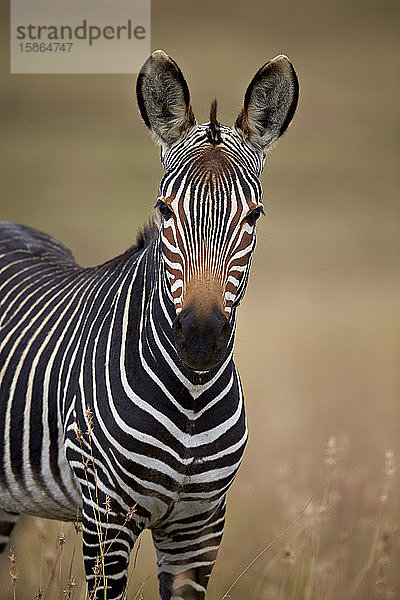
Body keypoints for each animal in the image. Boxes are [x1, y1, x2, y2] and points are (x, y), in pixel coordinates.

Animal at [0, 49, 296, 596]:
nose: (200, 339)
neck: (192, 397)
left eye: (255, 216)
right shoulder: (106, 518)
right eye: (164, 209)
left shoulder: (199, 528)